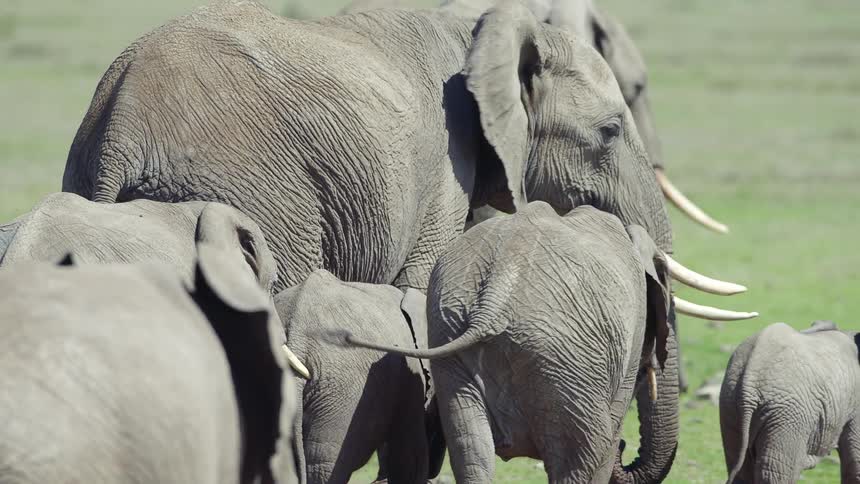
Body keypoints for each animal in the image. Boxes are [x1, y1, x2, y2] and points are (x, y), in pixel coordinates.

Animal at [343, 202, 742, 483]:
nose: (626, 448)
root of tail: (496, 293)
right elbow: (607, 433)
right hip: (565, 361)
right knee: (581, 459)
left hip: (452, 340)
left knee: (471, 453)